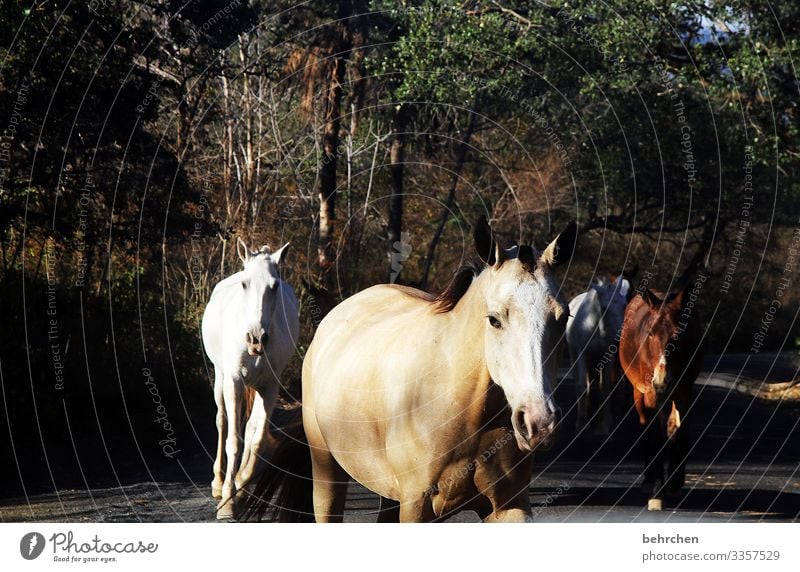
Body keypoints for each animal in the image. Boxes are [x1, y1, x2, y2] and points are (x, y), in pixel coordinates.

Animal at [200, 237, 300, 520]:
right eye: (245, 284)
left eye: (274, 286)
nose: (256, 339)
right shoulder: (234, 382)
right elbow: (233, 439)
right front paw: (227, 500)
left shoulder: (270, 387)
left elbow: (256, 439)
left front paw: (241, 487)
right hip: (221, 379)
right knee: (223, 421)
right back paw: (218, 482)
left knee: (250, 427)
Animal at [568, 274, 632, 436]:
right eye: (604, 307)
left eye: (624, 305)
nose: (621, 335)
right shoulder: (582, 355)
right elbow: (582, 386)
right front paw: (582, 424)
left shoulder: (608, 358)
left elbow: (604, 387)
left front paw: (604, 425)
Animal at [620, 278, 708, 510]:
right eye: (650, 333)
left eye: (679, 333)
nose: (661, 380)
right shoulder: (652, 393)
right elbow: (657, 434)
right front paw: (658, 492)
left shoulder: (684, 390)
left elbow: (680, 430)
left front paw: (675, 482)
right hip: (639, 392)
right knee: (647, 426)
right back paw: (649, 479)